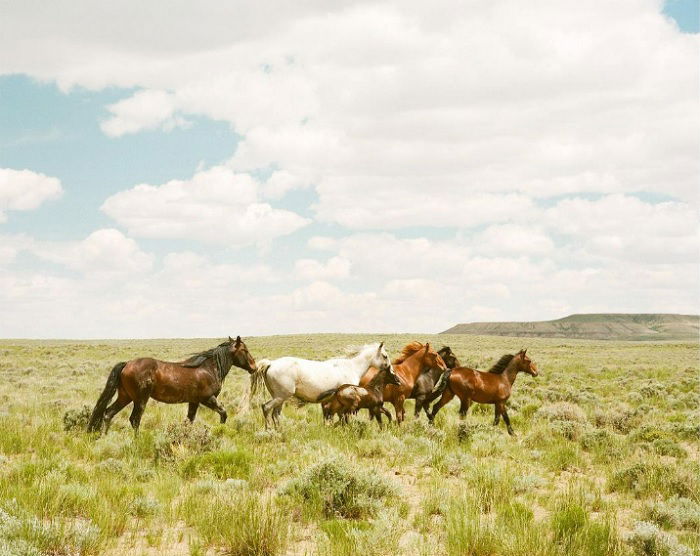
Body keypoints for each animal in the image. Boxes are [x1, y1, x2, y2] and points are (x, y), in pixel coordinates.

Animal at [87, 334, 258, 434]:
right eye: (245, 350)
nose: (254, 367)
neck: (208, 368)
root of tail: (127, 364)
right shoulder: (208, 399)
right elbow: (223, 414)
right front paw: (220, 432)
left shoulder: (194, 402)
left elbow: (189, 421)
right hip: (140, 399)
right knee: (134, 419)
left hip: (125, 396)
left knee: (108, 413)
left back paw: (104, 437)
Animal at [250, 340, 394, 428]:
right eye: (385, 356)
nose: (391, 370)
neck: (351, 367)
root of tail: (271, 363)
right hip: (280, 396)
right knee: (266, 408)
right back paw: (269, 430)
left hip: (279, 398)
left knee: (276, 413)